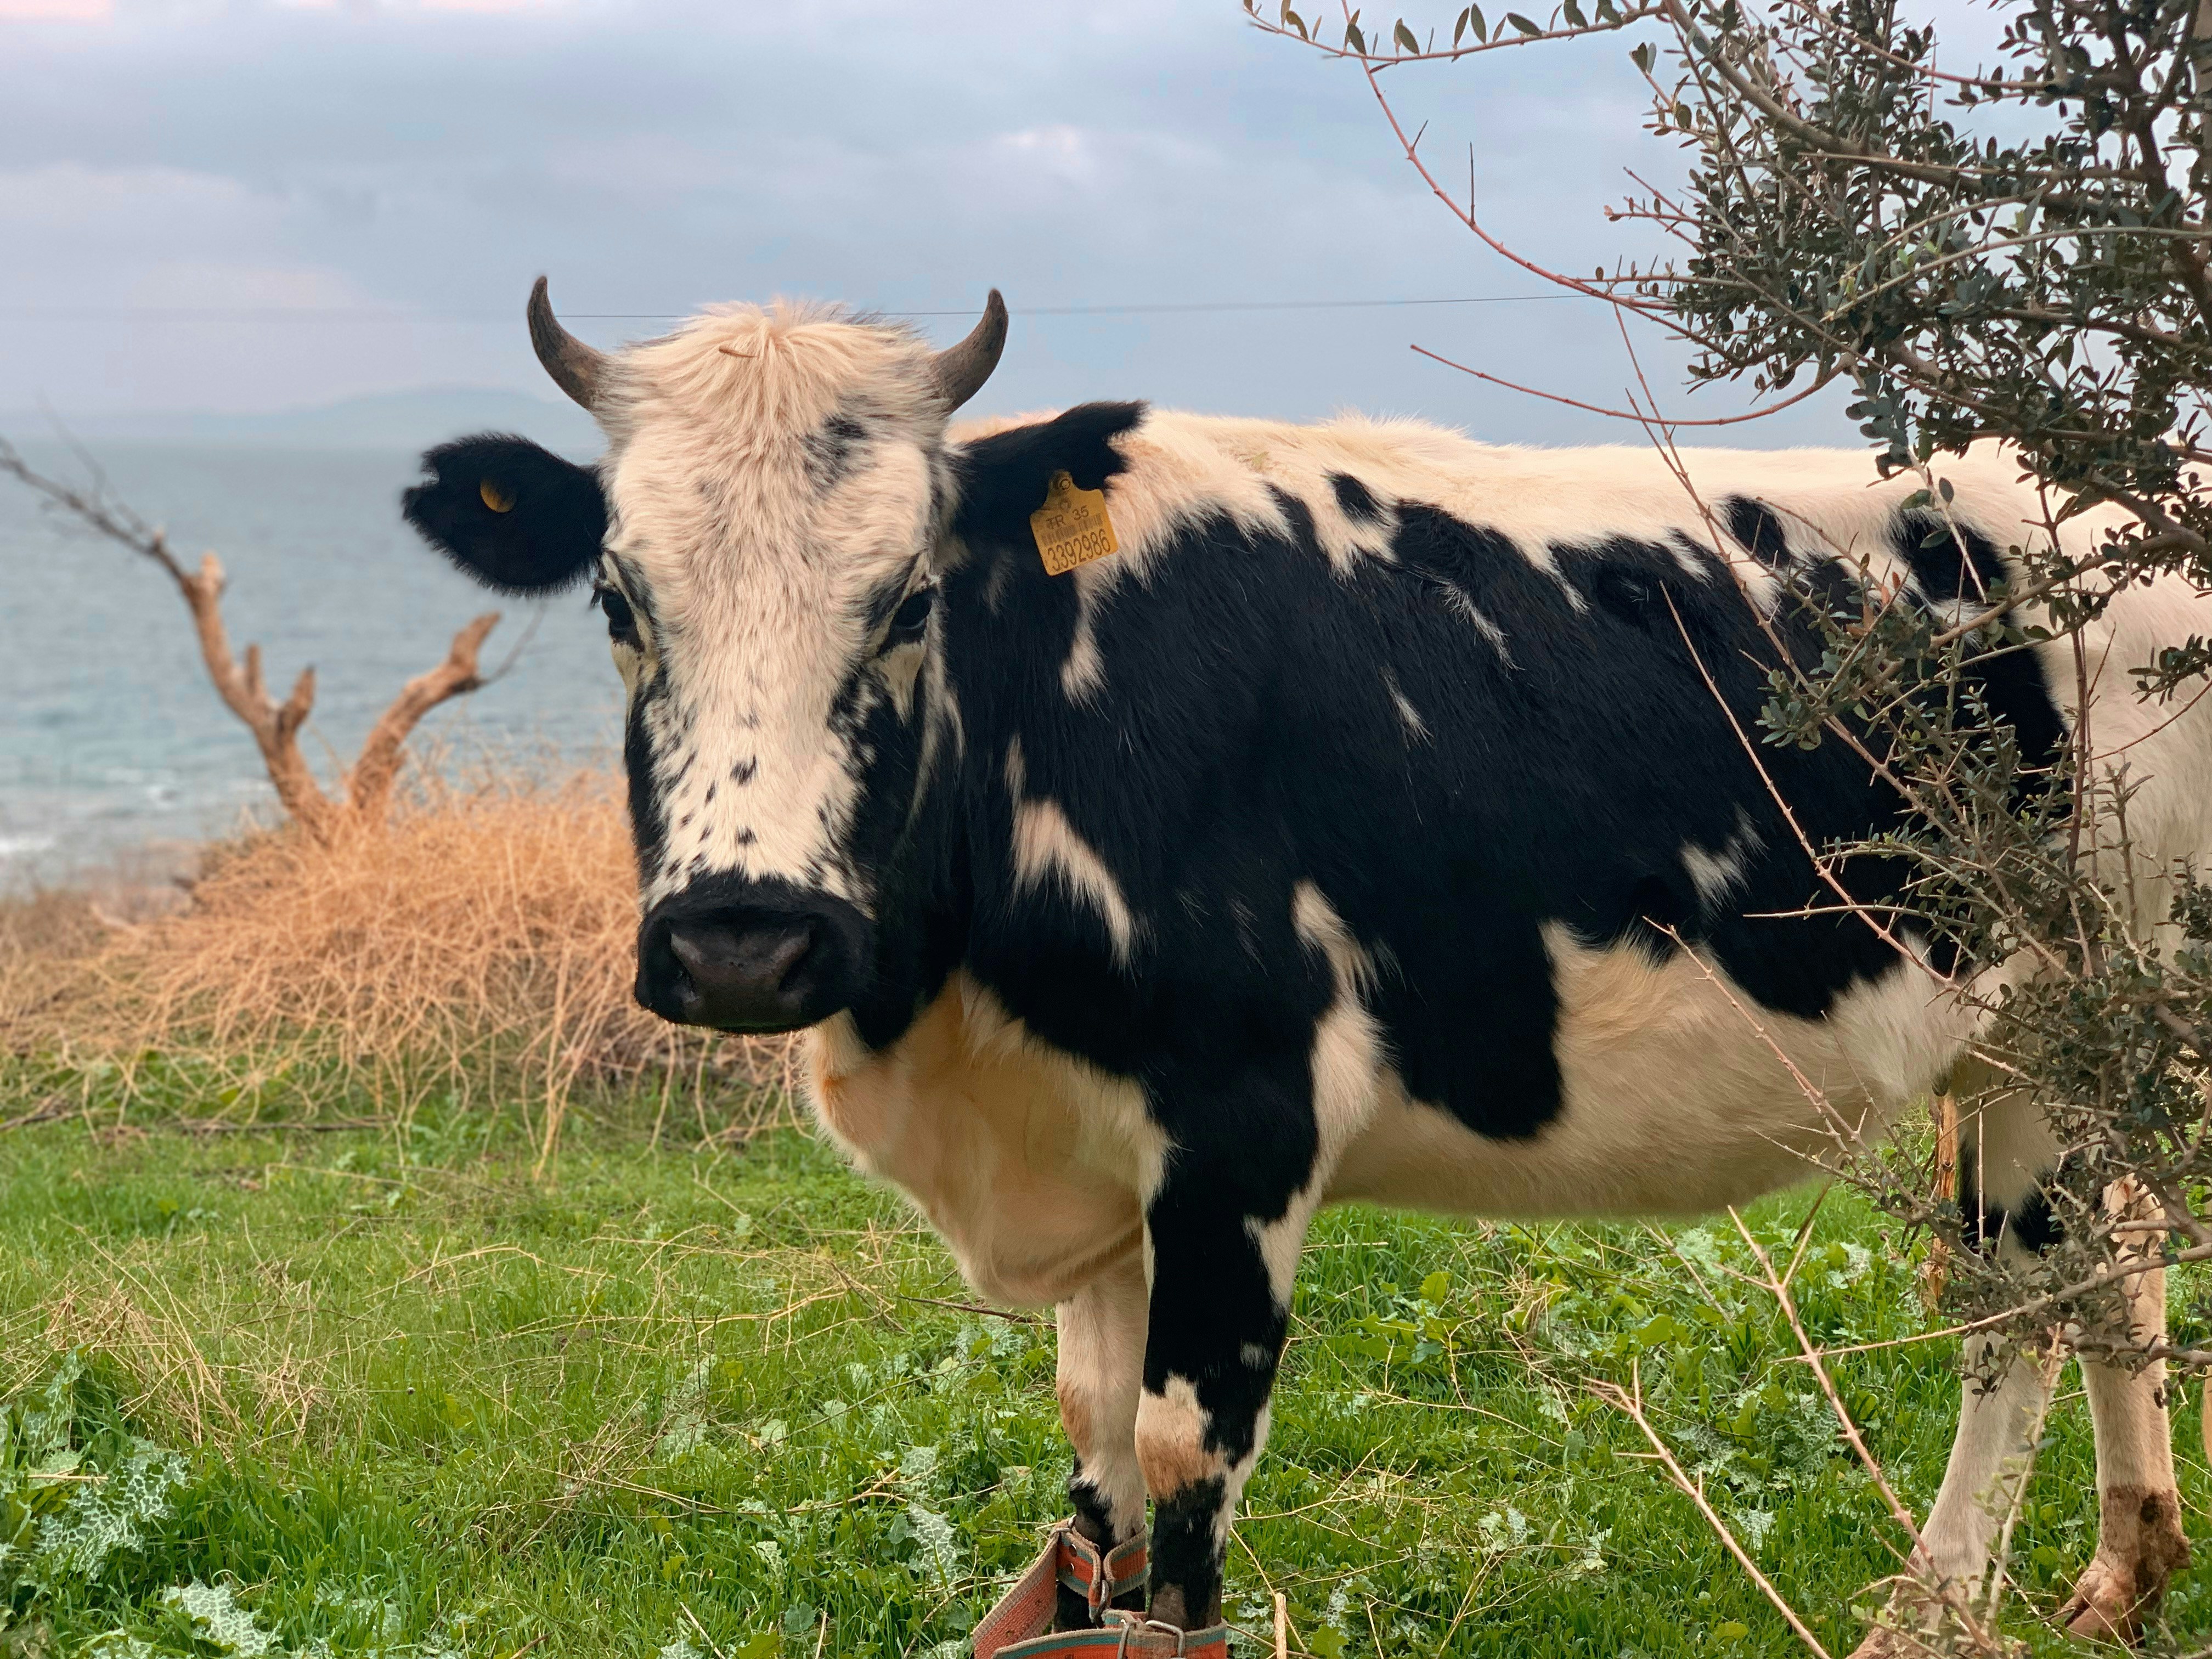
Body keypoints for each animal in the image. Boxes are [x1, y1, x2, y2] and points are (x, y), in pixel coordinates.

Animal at [401, 280, 2212, 1656]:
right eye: (620, 599)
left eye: (908, 597)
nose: (742, 939)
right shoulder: (1094, 1147)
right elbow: (1094, 1473)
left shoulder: (1243, 1120)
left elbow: (1177, 1465)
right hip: (2040, 1036)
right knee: (2108, 1256)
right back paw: (2123, 1569)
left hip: (2081, 995)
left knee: (2021, 1290)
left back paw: (1935, 1610)